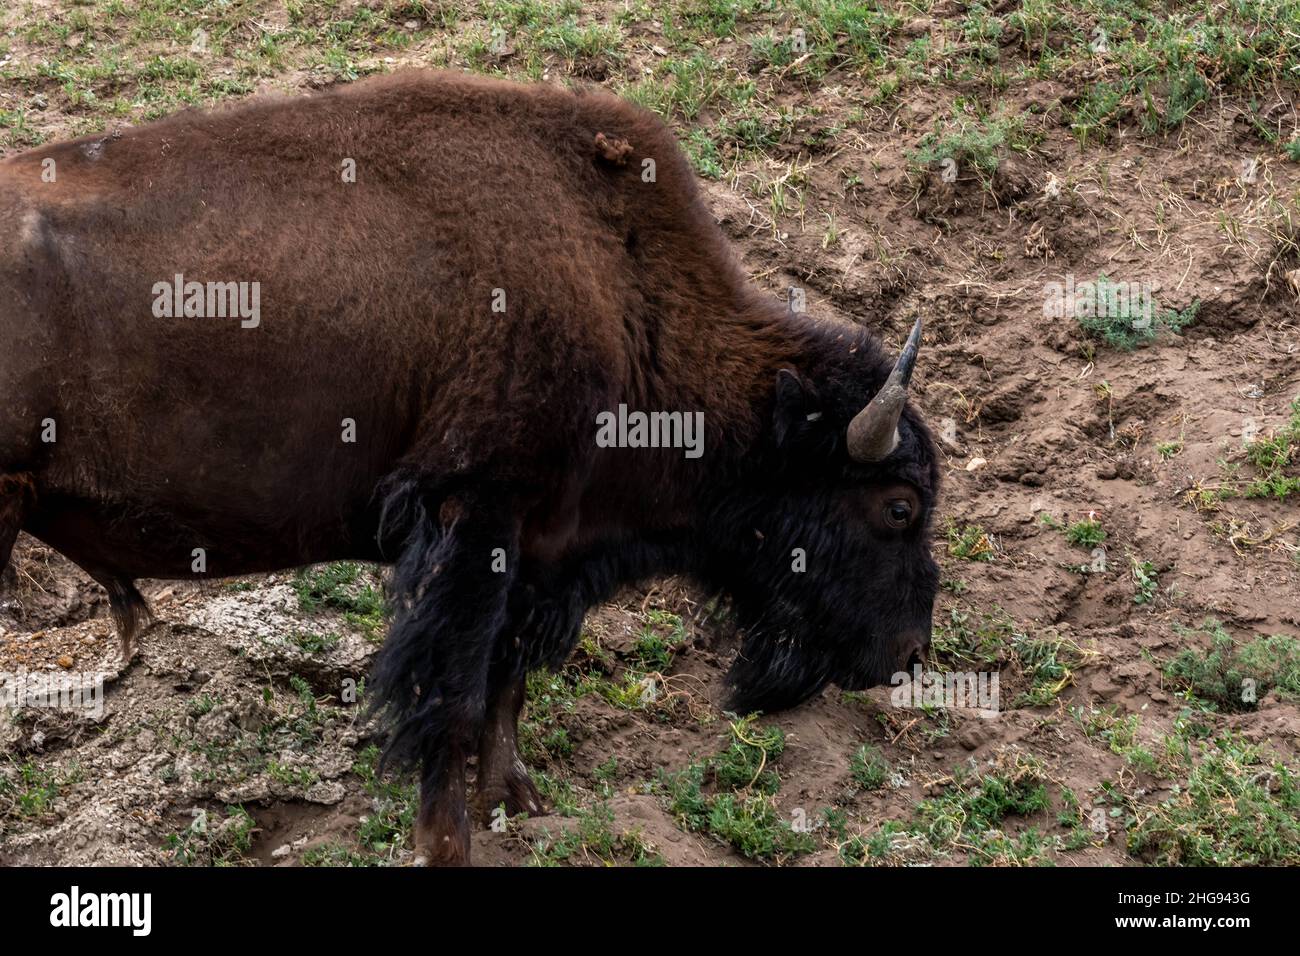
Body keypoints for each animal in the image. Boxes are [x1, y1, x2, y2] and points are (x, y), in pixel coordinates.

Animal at [0, 70, 935, 863]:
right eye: (897, 507)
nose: (908, 654)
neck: (619, 287)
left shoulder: (536, 548)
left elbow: (505, 683)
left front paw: (516, 799)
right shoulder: (474, 518)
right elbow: (450, 695)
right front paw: (447, 840)